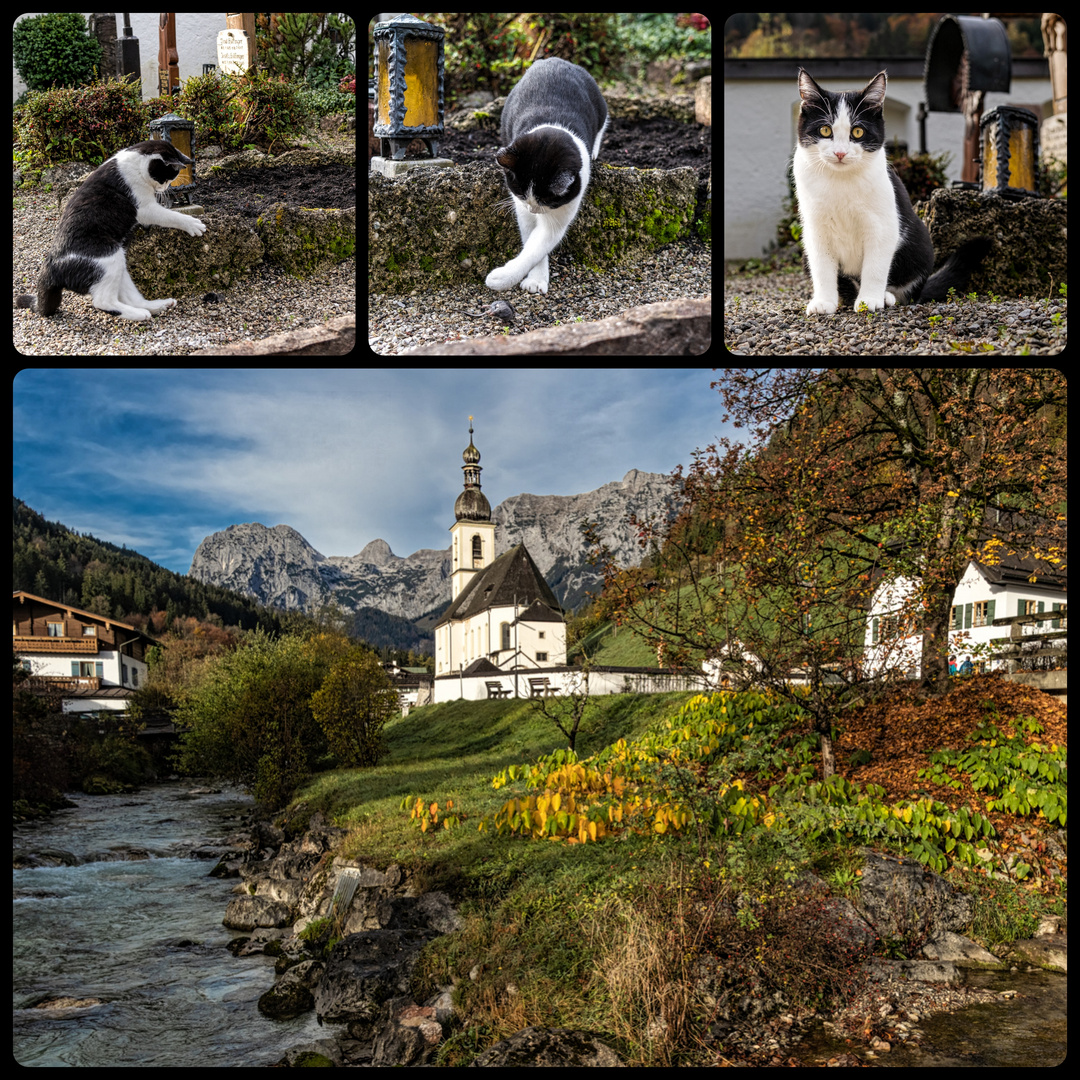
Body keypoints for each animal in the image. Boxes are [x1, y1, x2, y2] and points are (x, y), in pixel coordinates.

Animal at [16, 138, 206, 319]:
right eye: (165, 178)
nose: (164, 188)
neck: (135, 162)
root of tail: (51, 265)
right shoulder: (145, 208)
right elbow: (170, 216)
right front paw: (192, 223)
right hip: (108, 255)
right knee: (103, 301)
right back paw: (140, 315)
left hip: (119, 260)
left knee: (131, 298)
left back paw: (157, 306)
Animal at [483, 58, 604, 295]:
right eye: (520, 193)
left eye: (547, 200)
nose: (533, 209)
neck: (553, 127)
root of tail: (553, 60)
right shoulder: (521, 208)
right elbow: (530, 237)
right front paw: (535, 278)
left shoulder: (563, 208)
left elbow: (538, 246)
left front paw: (503, 278)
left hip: (600, 105)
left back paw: (594, 150)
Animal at [790, 68, 989, 315]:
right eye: (825, 130)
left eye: (858, 131)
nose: (840, 153)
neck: (841, 181)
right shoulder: (816, 228)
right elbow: (822, 266)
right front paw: (824, 302)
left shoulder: (883, 224)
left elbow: (875, 266)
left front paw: (869, 300)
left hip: (920, 246)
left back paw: (886, 297)